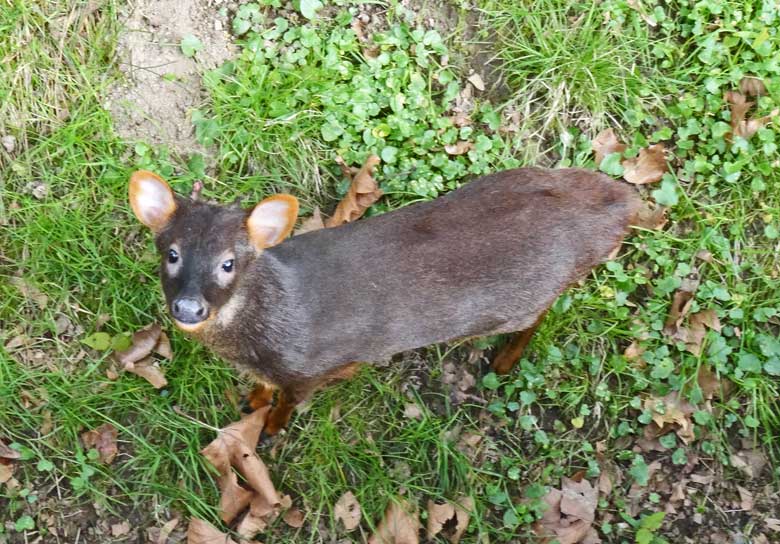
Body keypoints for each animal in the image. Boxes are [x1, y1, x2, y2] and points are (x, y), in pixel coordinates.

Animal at [129, 168, 640, 436]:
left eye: (229, 263)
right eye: (172, 253)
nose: (189, 309)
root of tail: (621, 205)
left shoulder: (310, 369)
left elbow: (288, 405)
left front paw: (270, 430)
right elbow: (260, 390)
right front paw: (250, 402)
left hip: (520, 299)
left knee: (541, 316)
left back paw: (503, 361)